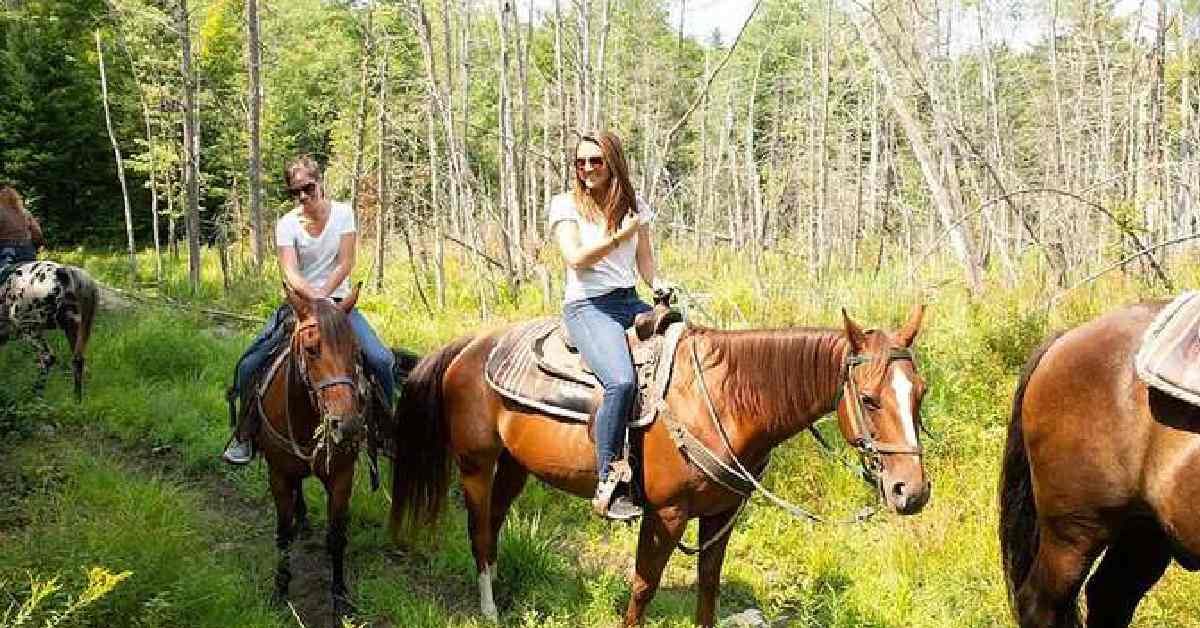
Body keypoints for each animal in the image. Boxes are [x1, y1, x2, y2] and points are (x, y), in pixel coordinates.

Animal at [0, 261, 97, 403]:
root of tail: (63, 271)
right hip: (72, 330)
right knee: (78, 362)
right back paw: (76, 401)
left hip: (29, 329)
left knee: (48, 358)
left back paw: (34, 396)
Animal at [259, 284, 372, 619]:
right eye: (310, 349)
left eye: (356, 351)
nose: (347, 425)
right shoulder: (277, 474)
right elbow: (282, 533)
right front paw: (280, 590)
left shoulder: (341, 477)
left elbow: (336, 537)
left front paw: (340, 596)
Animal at [388, 303, 931, 624]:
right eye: (869, 399)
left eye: (919, 394)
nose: (912, 491)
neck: (723, 402)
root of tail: (471, 345)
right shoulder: (664, 515)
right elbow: (643, 590)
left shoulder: (721, 514)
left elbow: (708, 589)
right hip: (475, 463)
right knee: (479, 528)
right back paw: (488, 608)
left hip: (516, 465)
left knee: (497, 520)